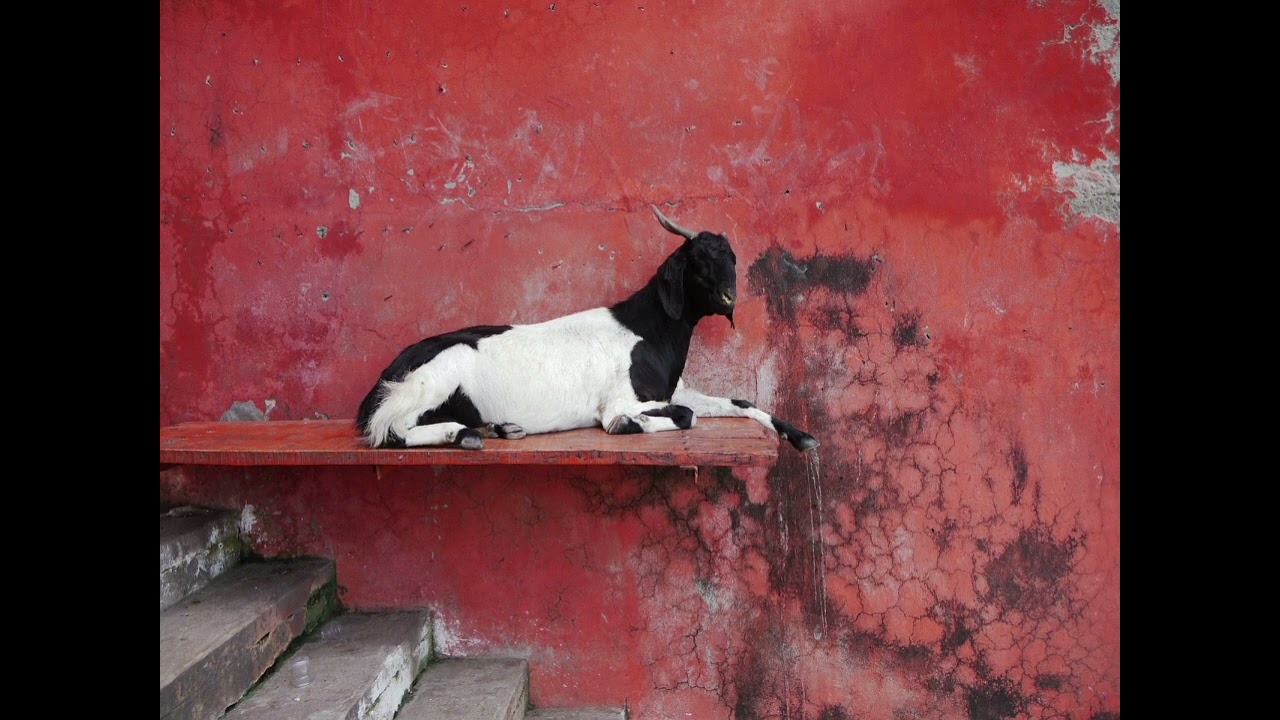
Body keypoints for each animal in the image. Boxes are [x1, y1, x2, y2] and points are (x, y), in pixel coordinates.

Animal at [357, 206, 819, 452]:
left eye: (732, 258)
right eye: (698, 262)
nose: (728, 298)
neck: (646, 330)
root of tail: (387, 375)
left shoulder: (675, 391)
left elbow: (742, 401)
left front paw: (802, 437)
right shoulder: (622, 400)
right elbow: (682, 417)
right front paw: (628, 426)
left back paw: (498, 428)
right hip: (433, 380)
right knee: (390, 431)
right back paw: (464, 434)